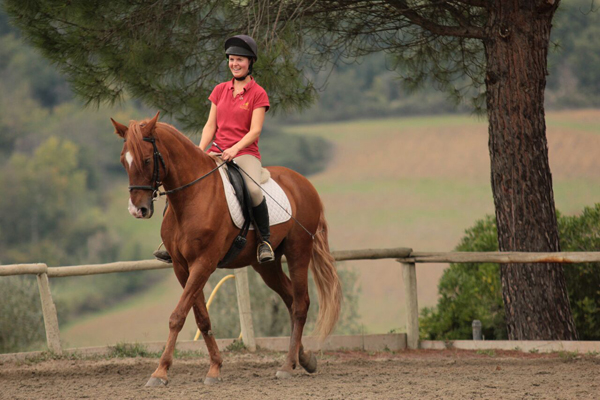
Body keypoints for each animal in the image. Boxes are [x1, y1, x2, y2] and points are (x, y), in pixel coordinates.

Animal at [109, 111, 340, 384]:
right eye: (123, 161)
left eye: (146, 160)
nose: (138, 210)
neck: (192, 197)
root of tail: (303, 182)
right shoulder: (182, 267)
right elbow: (201, 317)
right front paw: (214, 367)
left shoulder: (204, 264)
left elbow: (178, 316)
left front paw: (161, 371)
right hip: (267, 266)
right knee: (291, 300)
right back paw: (302, 359)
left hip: (298, 252)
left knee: (301, 304)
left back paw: (287, 365)